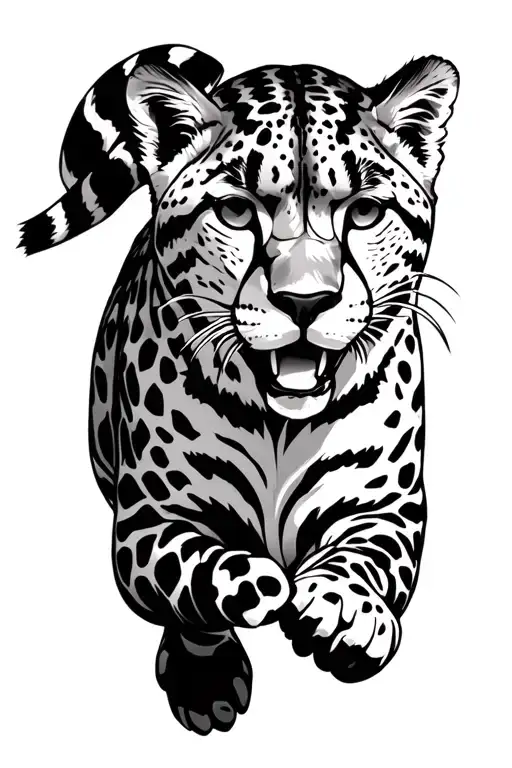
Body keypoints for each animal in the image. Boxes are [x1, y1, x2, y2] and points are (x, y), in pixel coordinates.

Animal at [19, 44, 459, 735]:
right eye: (235, 212)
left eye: (364, 212)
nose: (305, 301)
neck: (281, 427)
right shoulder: (147, 519)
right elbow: (182, 568)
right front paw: (238, 600)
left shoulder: (387, 504)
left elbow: (368, 555)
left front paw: (345, 610)